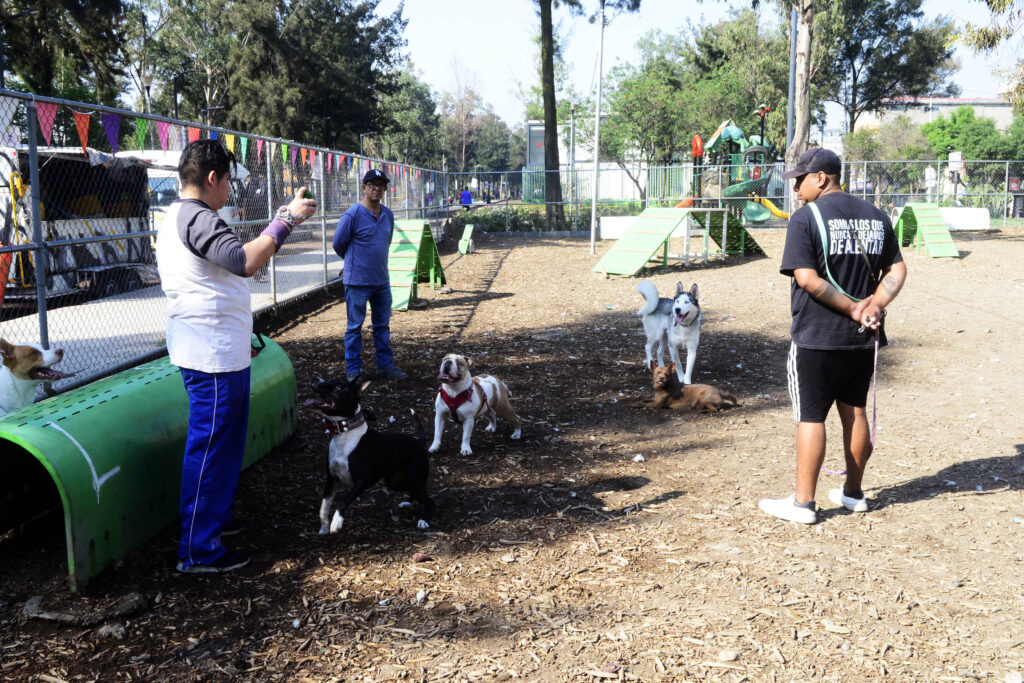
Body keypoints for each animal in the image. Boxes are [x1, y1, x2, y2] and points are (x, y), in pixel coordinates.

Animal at [303, 374, 432, 532]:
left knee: (429, 502)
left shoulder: (363, 481)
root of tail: (420, 442)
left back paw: (424, 520)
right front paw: (324, 526)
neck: (345, 434)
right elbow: (324, 505)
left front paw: (337, 521)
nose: (315, 378)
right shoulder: (331, 478)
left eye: (339, 387)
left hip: (412, 480)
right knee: (414, 492)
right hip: (394, 482)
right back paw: (408, 503)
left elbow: (343, 500)